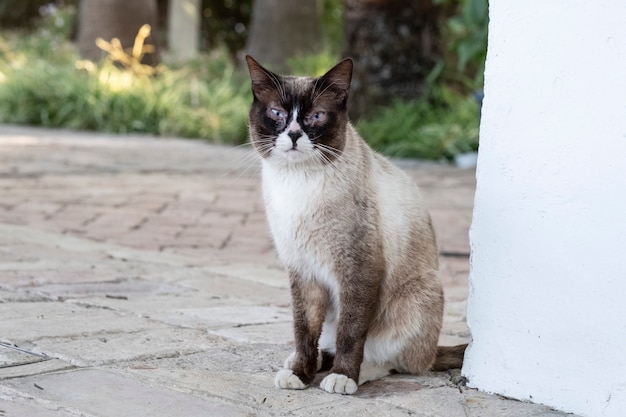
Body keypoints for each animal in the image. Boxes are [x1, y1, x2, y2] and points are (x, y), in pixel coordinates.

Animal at [246, 55, 466, 394]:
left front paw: (343, 376)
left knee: (394, 362)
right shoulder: (302, 270)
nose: (294, 134)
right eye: (277, 114)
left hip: (416, 299)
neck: (297, 185)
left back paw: (353, 372)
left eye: (316, 116)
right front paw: (300, 374)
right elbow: (303, 330)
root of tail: (431, 353)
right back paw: (305, 362)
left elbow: (350, 332)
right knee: (324, 342)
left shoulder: (357, 269)